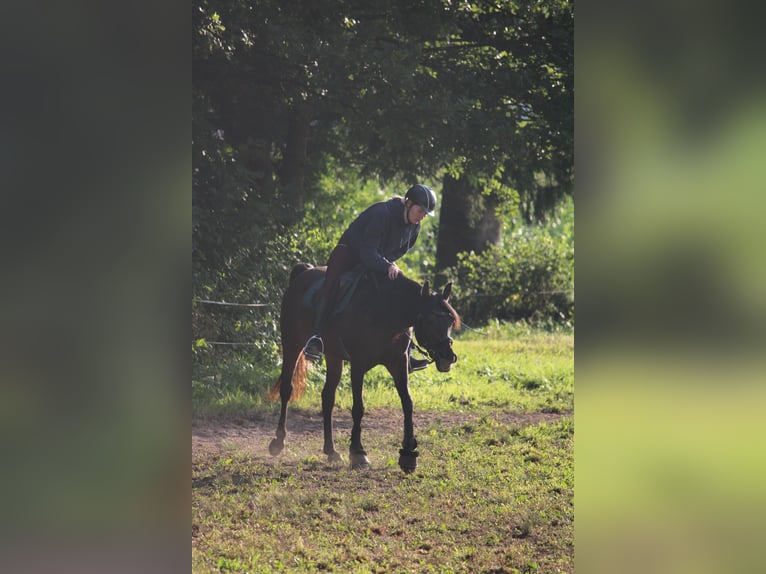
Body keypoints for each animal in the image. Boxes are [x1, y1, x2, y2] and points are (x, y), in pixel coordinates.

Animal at [267, 263, 460, 473]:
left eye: (450, 321)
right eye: (430, 320)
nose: (448, 357)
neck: (386, 311)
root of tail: (303, 274)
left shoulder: (398, 362)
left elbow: (407, 403)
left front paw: (408, 453)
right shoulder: (358, 365)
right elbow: (358, 408)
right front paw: (358, 452)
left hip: (334, 357)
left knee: (327, 397)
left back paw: (331, 451)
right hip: (292, 345)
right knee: (287, 389)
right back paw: (278, 442)